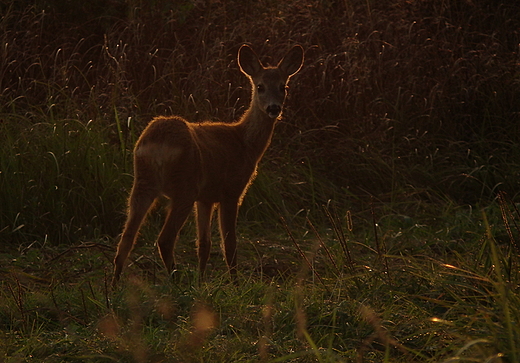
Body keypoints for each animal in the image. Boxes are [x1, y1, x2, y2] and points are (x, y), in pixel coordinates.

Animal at [111, 44, 302, 286]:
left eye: (283, 87)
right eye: (260, 87)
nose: (273, 108)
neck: (244, 142)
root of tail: (156, 144)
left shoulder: (205, 198)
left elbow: (204, 245)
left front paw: (201, 283)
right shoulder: (231, 191)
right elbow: (229, 244)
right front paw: (235, 284)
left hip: (142, 184)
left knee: (125, 239)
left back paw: (114, 286)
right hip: (184, 187)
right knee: (164, 239)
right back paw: (176, 281)